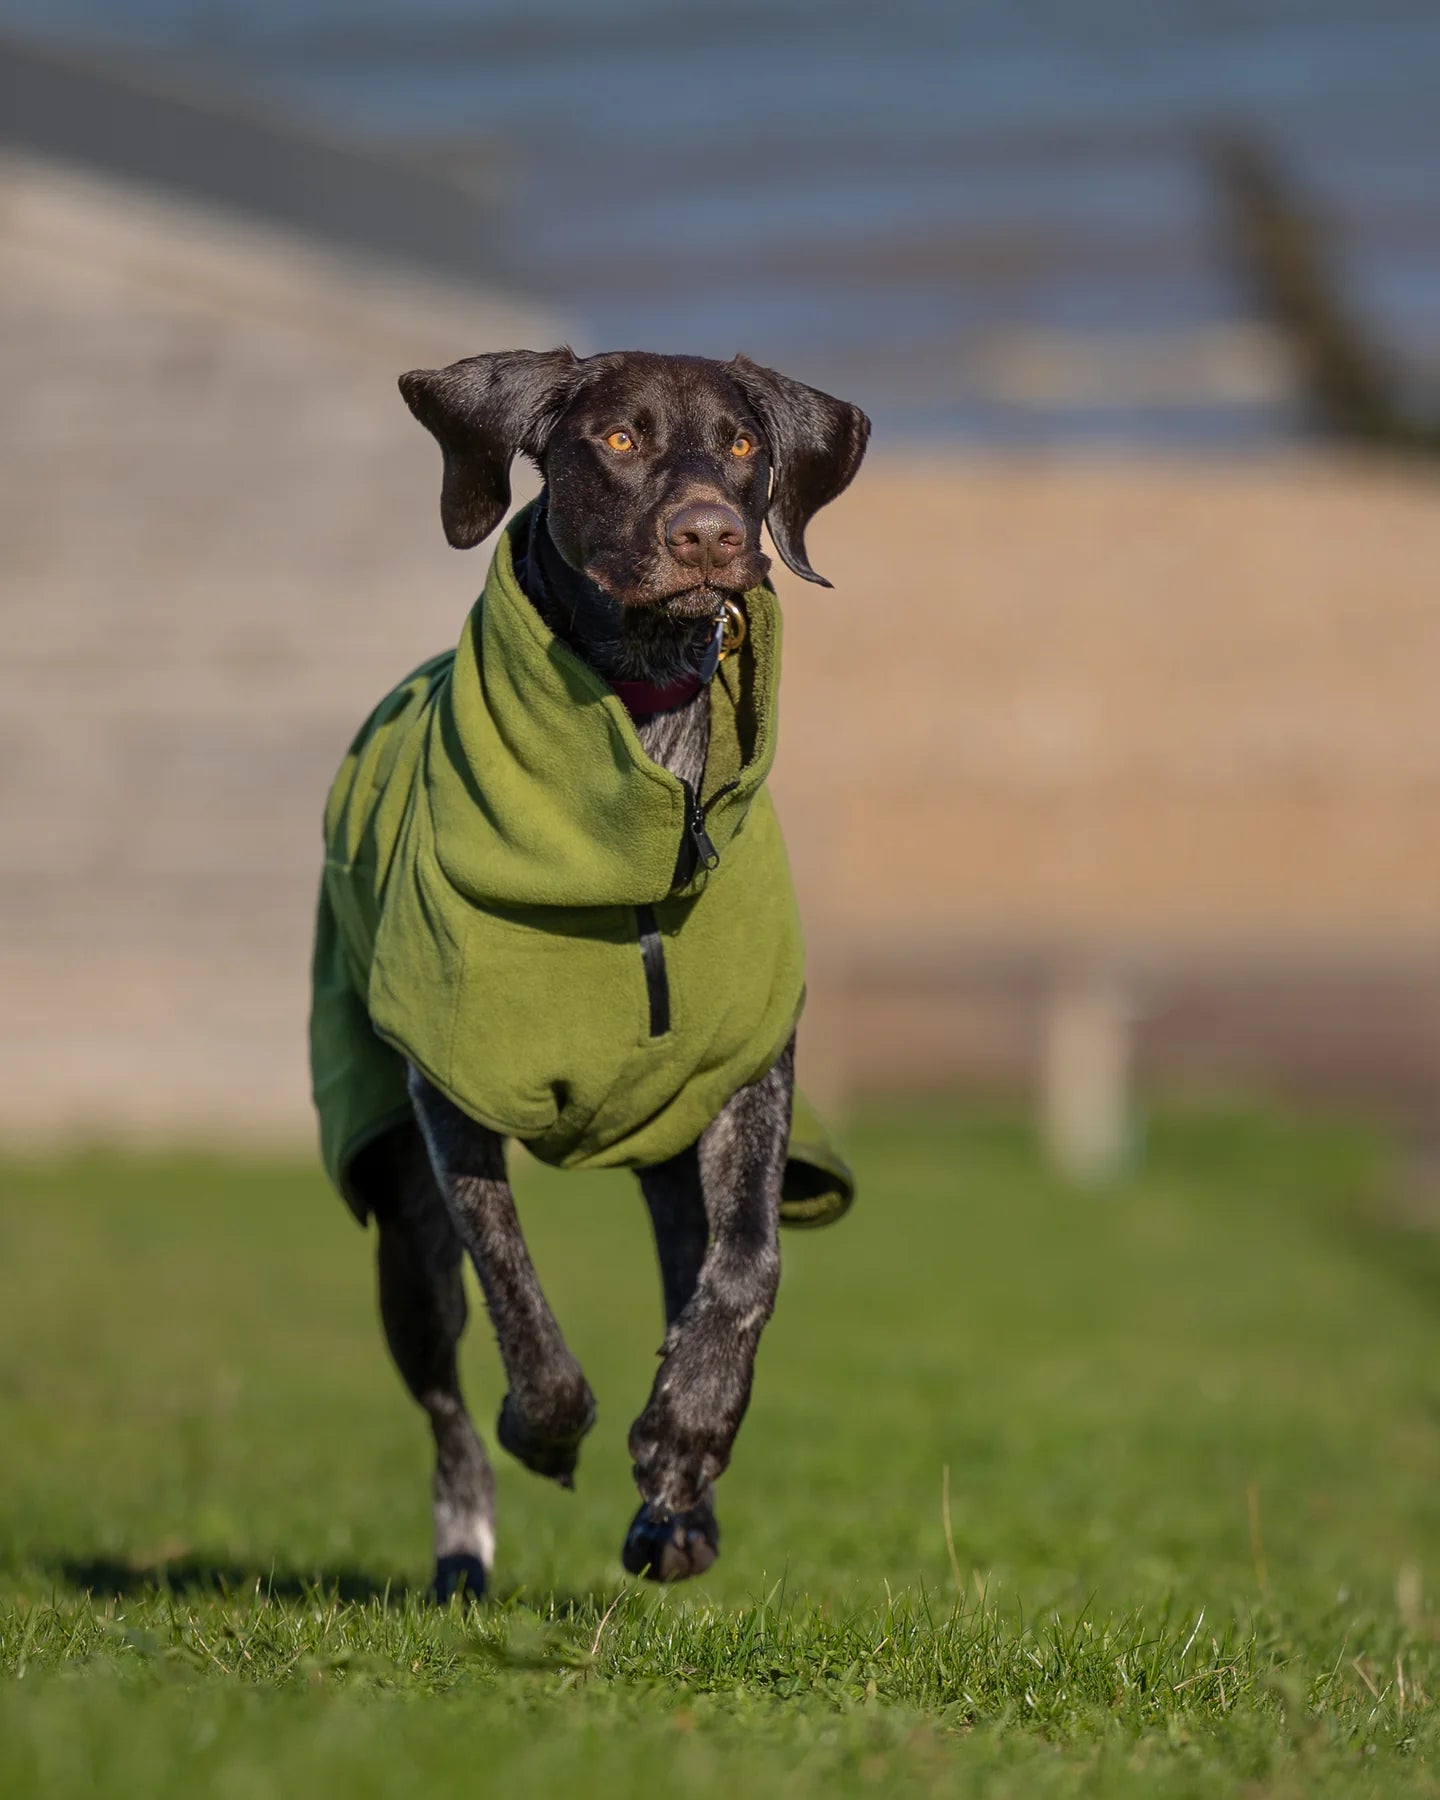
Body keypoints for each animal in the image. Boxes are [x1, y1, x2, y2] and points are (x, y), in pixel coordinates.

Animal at [307, 343, 867, 1598]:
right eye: (617, 440)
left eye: (744, 444)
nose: (711, 533)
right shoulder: (449, 1101)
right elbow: (517, 1297)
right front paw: (548, 1424)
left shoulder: (748, 1081)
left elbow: (747, 1271)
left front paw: (685, 1441)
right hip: (396, 1222)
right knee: (444, 1405)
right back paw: (463, 1550)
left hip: (668, 1161)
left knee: (691, 1274)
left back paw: (679, 1507)